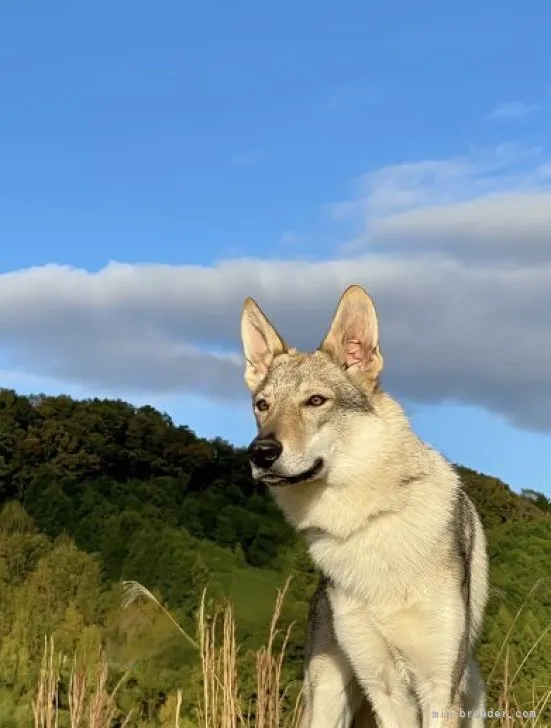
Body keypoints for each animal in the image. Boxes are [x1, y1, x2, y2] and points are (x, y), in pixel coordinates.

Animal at [239, 284, 490, 728]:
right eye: (263, 405)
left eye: (315, 401)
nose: (260, 452)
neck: (367, 521)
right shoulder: (385, 688)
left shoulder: (439, 687)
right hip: (327, 698)